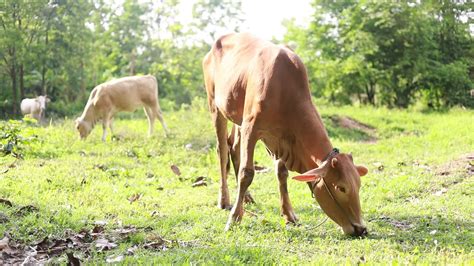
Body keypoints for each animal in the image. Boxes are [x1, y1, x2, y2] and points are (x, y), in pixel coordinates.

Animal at [202, 32, 368, 236]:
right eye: (341, 188)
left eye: (358, 185)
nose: (361, 228)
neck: (284, 90)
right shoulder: (251, 128)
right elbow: (246, 173)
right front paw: (233, 219)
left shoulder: (279, 139)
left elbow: (282, 173)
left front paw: (289, 214)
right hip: (215, 107)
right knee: (222, 150)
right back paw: (225, 200)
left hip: (237, 117)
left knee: (233, 147)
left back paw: (247, 198)